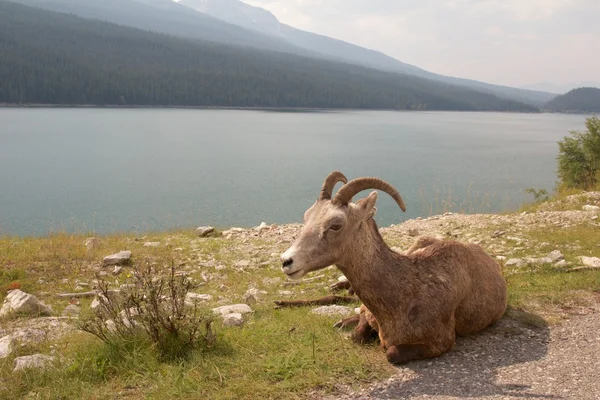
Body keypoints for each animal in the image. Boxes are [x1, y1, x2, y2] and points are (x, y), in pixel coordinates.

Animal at [280, 170, 506, 364]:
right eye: (307, 216)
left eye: (336, 224)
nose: (286, 261)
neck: (404, 295)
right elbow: (356, 333)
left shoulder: (440, 342)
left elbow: (390, 352)